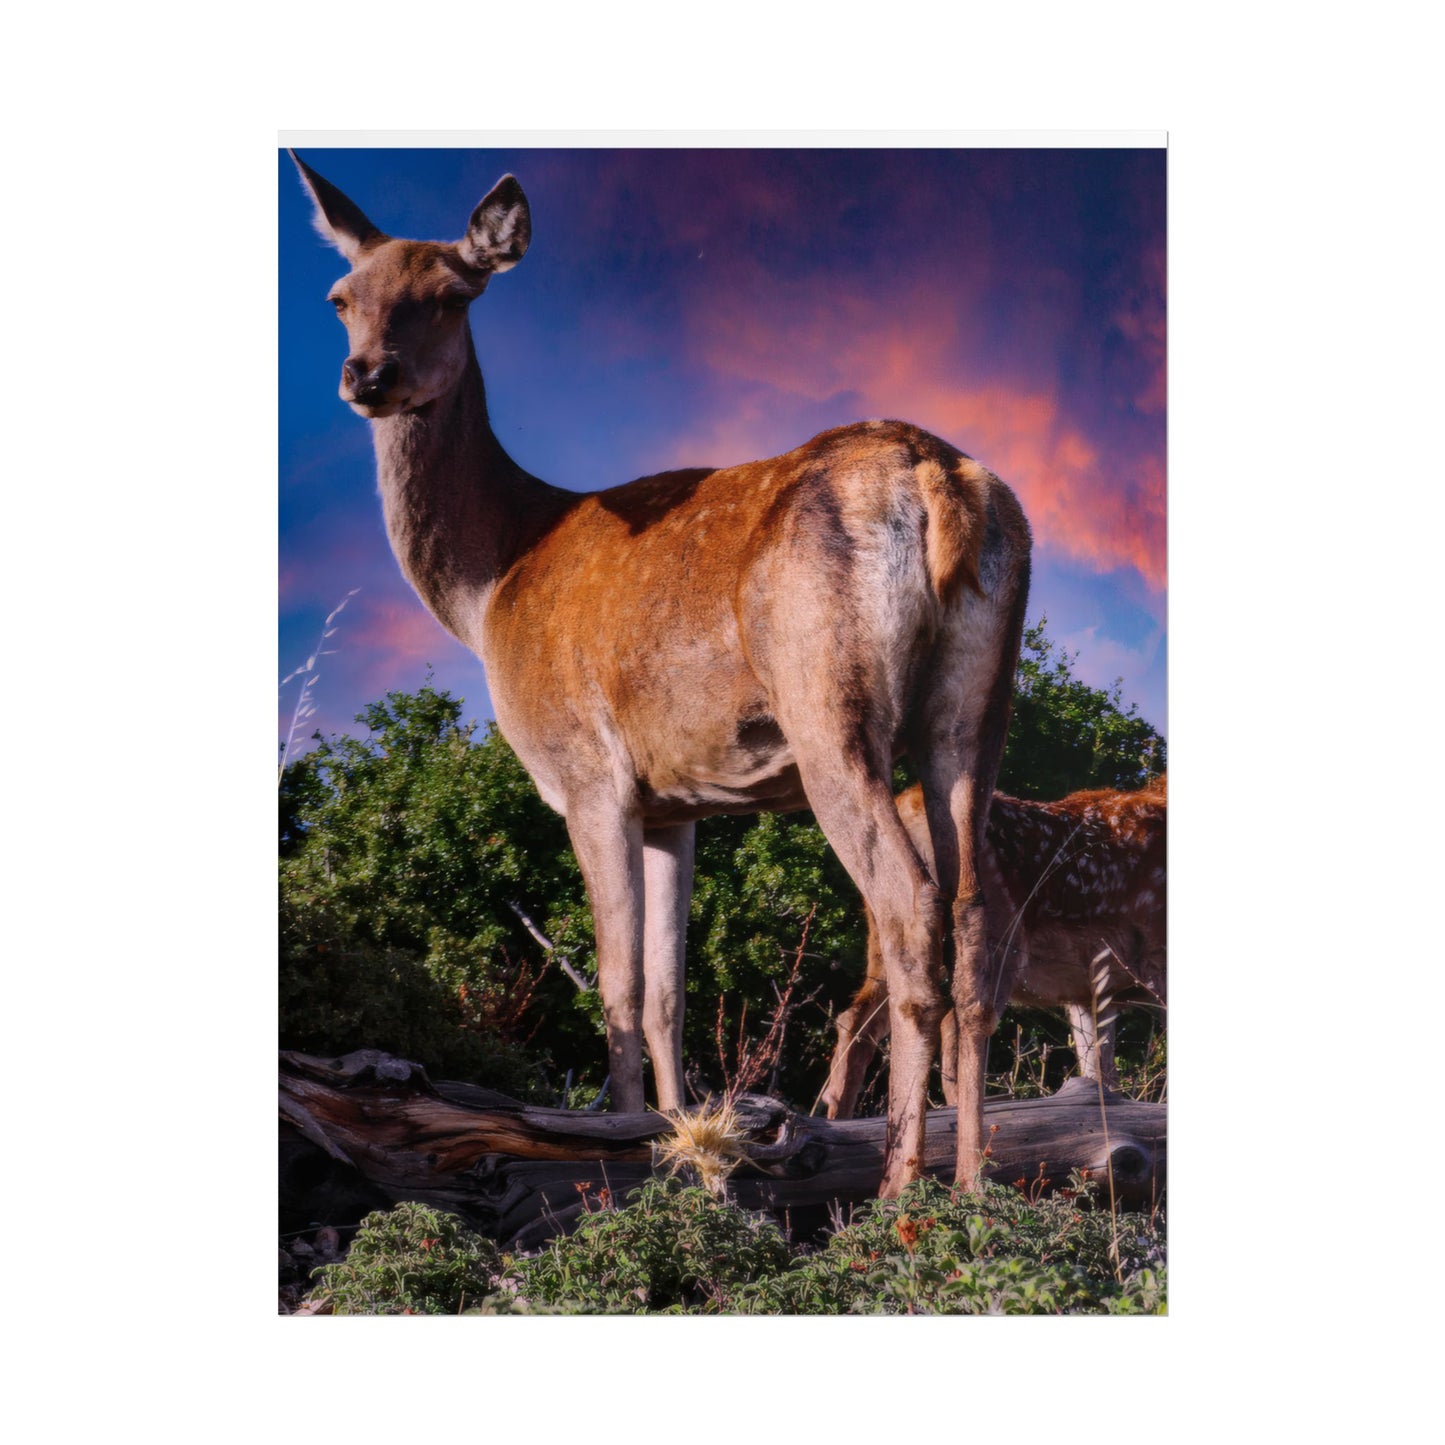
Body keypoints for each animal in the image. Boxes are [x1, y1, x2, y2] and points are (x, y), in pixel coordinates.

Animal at [289, 152, 1032, 1197]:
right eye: (342, 296)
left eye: (449, 293)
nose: (368, 375)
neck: (490, 583)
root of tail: (937, 479)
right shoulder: (676, 801)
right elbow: (668, 990)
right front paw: (682, 1144)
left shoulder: (586, 771)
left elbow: (616, 982)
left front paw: (621, 1152)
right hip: (976, 706)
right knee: (973, 917)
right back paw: (970, 1184)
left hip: (829, 703)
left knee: (906, 906)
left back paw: (896, 1189)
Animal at [821, 776, 1166, 1120]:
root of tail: (912, 805)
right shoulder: (1155, 963)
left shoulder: (1090, 992)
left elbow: (1100, 1078)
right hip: (994, 941)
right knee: (956, 1027)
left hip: (888, 937)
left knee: (858, 1018)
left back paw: (837, 1116)